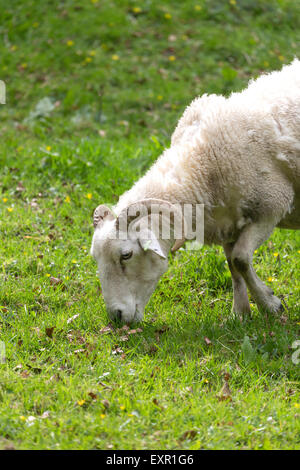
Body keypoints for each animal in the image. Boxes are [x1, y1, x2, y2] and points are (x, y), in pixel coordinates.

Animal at [91, 59, 300, 324]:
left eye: (126, 255)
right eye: (96, 258)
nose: (116, 317)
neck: (202, 165)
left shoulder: (272, 209)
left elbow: (241, 259)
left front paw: (270, 304)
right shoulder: (228, 223)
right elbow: (232, 265)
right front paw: (240, 313)